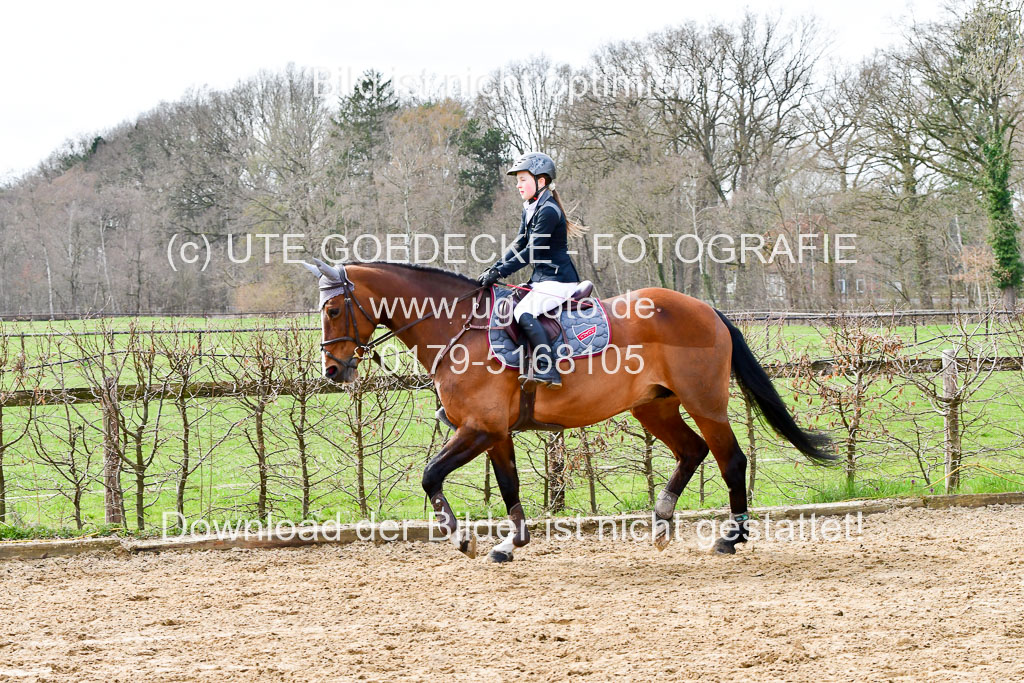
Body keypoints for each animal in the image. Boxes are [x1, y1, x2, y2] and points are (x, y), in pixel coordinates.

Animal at [303, 259, 831, 565]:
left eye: (332, 310)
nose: (332, 370)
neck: (457, 329)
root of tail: (707, 309)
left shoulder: (478, 429)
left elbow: (431, 476)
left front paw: (462, 540)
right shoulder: (497, 433)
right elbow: (510, 485)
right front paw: (509, 544)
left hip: (705, 403)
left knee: (730, 460)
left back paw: (730, 537)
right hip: (654, 408)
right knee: (692, 451)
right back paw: (662, 521)